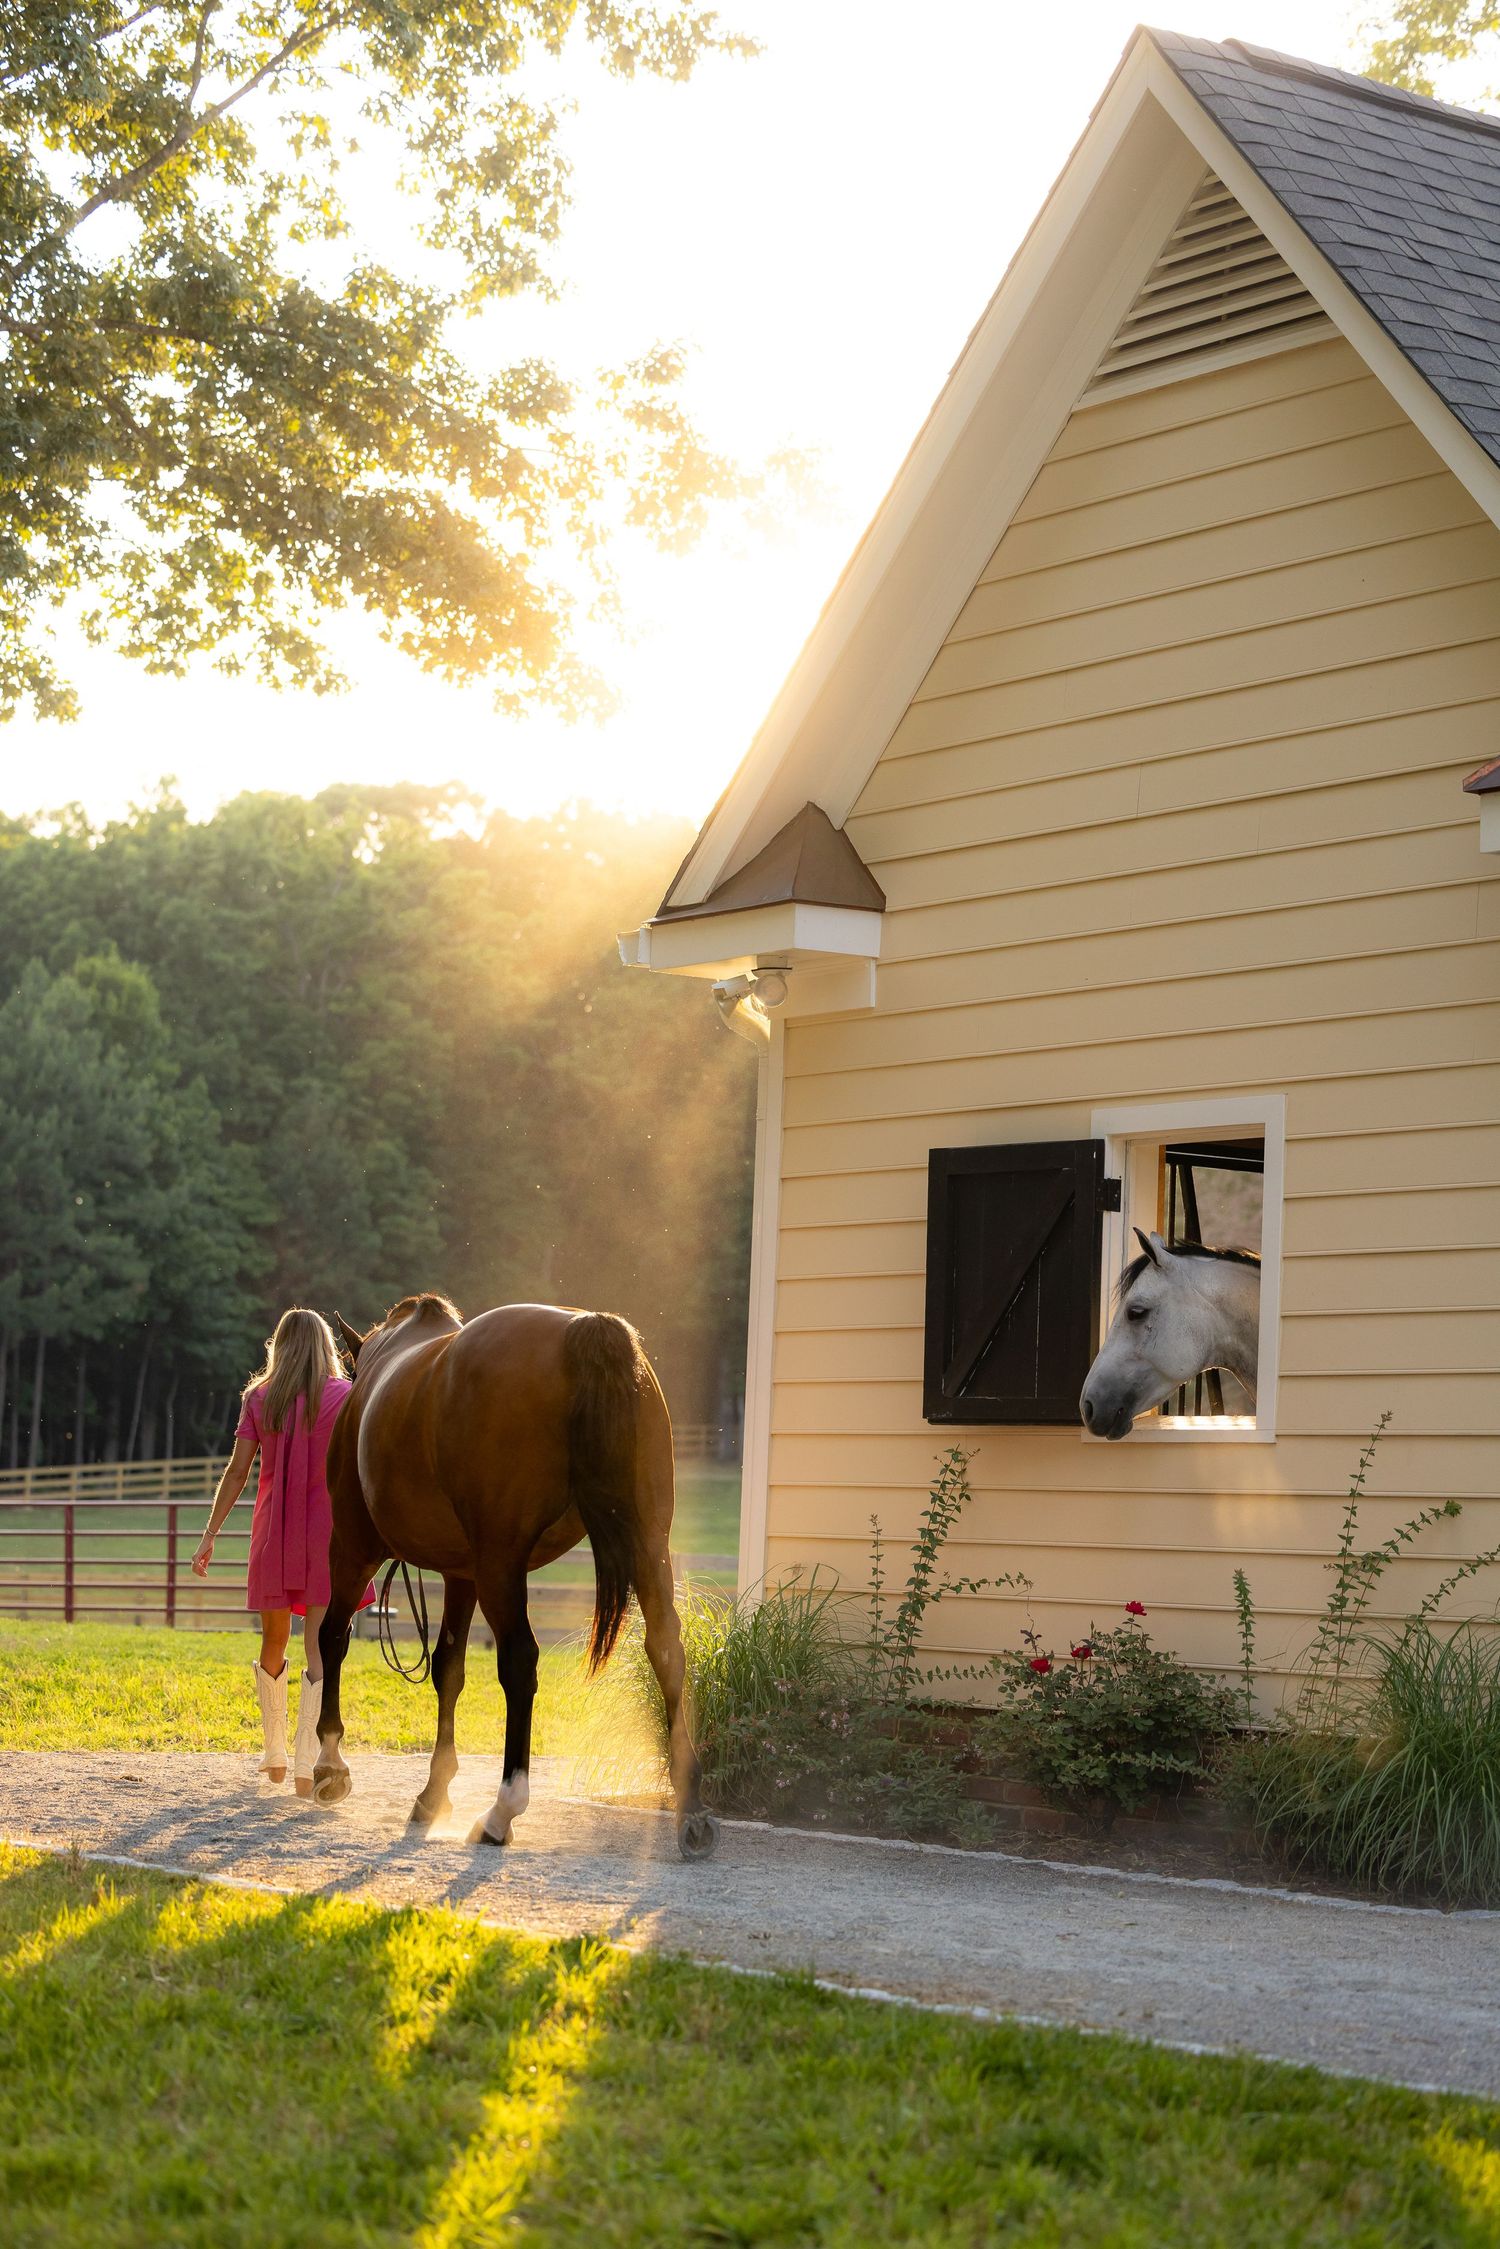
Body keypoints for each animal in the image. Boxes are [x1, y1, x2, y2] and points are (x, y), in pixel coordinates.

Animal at [311, 1293, 718, 1861]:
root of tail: (583, 1332)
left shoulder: (353, 1547)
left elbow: (334, 1638)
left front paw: (330, 1764)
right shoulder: (461, 1573)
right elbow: (449, 1669)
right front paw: (433, 1792)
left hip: (500, 1564)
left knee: (521, 1662)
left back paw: (502, 1811)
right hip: (647, 1545)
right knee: (666, 1649)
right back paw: (691, 1807)